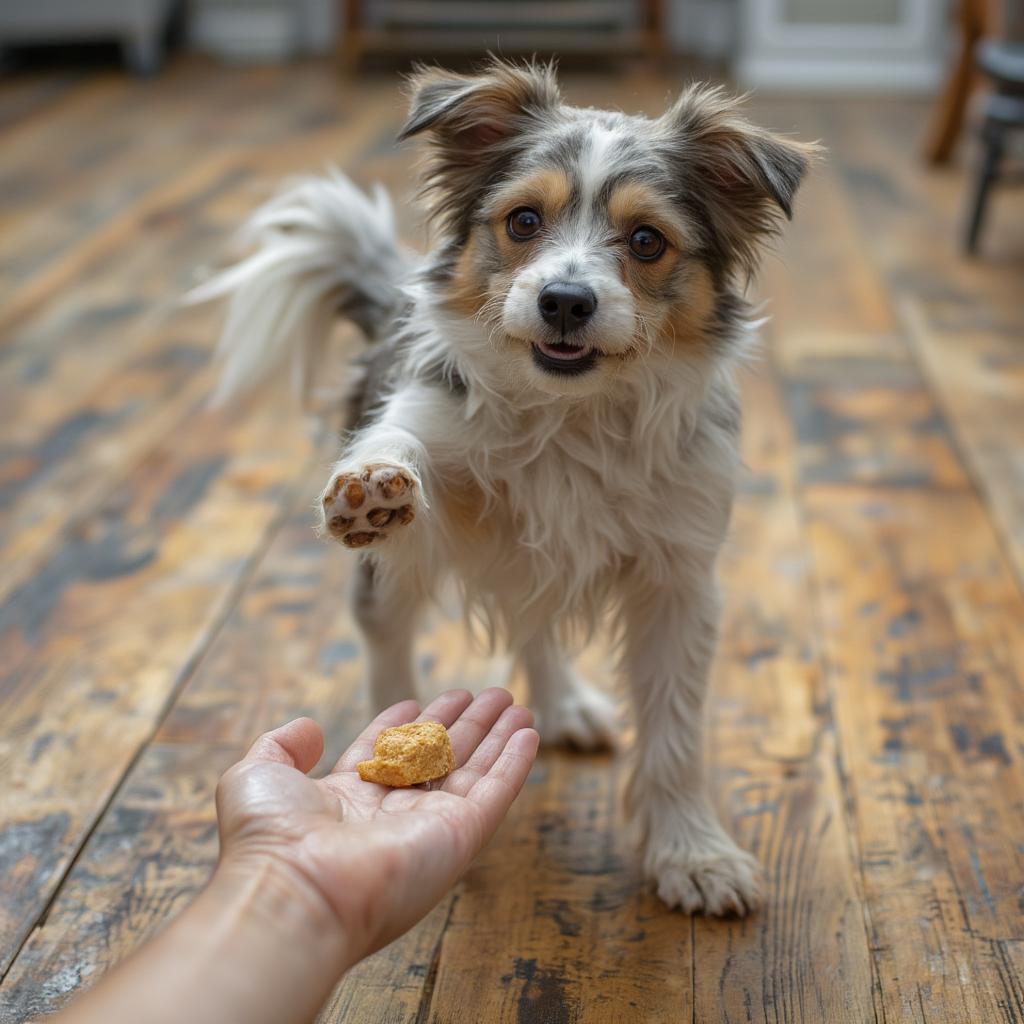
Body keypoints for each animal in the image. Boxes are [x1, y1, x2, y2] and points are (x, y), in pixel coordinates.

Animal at [193, 59, 815, 917]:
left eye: (647, 240)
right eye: (523, 222)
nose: (564, 301)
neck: (572, 412)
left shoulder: (679, 579)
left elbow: (675, 734)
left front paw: (693, 852)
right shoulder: (438, 473)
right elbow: (407, 451)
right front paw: (372, 484)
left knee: (535, 619)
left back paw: (561, 705)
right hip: (407, 579)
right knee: (390, 636)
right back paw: (391, 707)